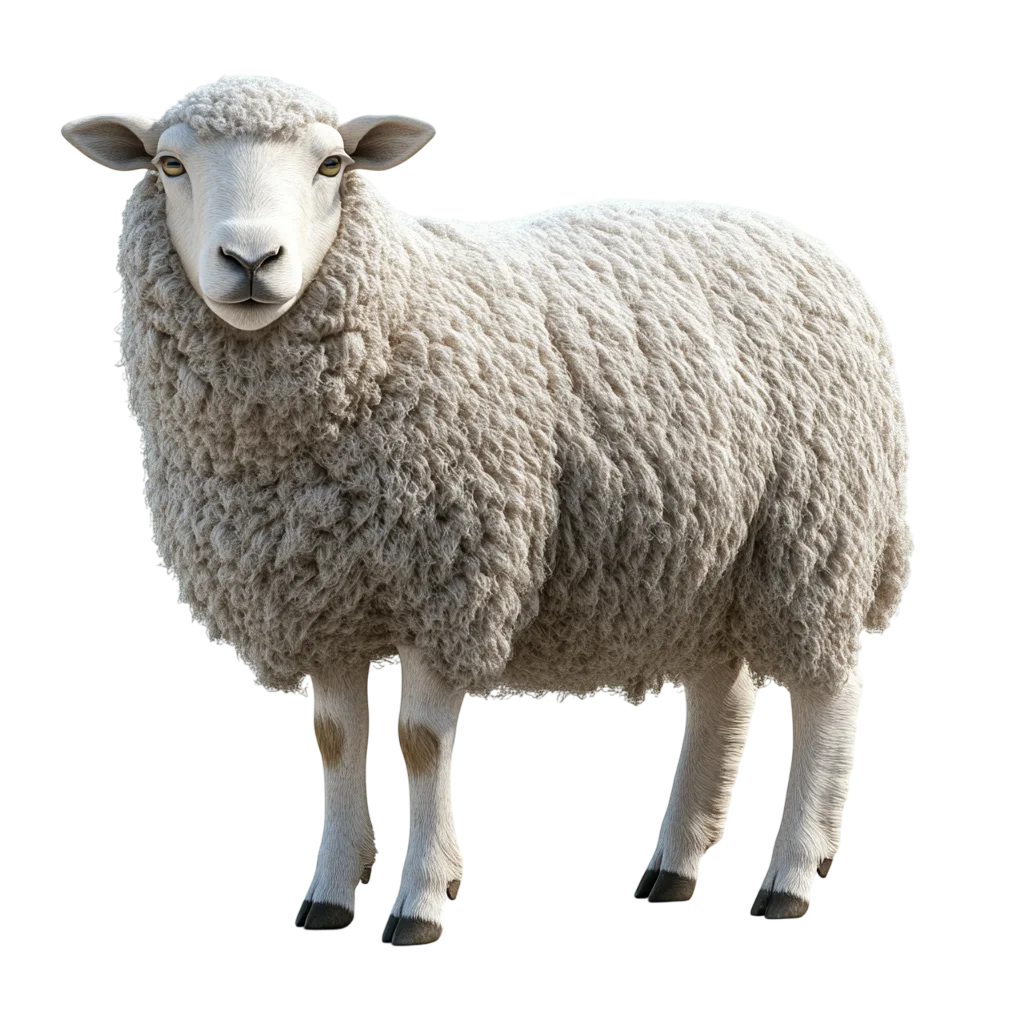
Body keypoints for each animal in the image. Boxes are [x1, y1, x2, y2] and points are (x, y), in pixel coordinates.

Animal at [62, 78, 911, 939]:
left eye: (333, 164)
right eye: (169, 165)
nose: (250, 260)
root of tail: (797, 235)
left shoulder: (452, 582)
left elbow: (420, 743)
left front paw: (421, 904)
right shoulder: (324, 595)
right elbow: (335, 741)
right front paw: (328, 897)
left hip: (816, 539)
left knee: (827, 696)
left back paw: (791, 877)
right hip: (706, 563)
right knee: (720, 693)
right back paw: (673, 868)